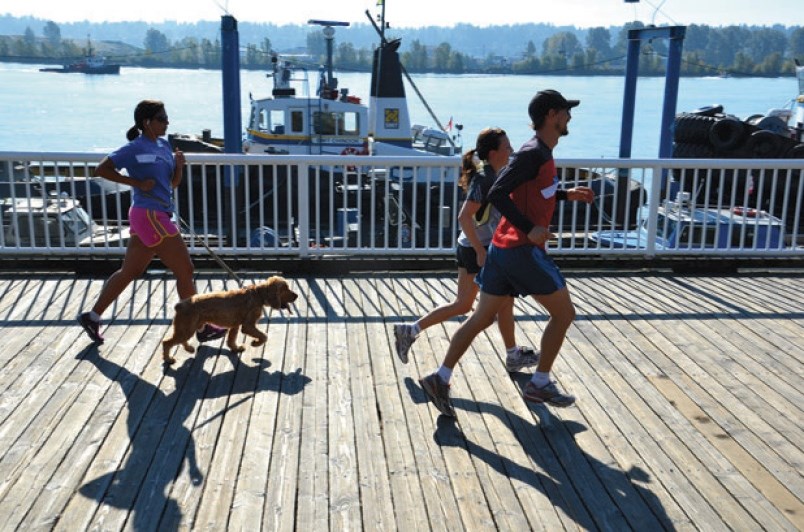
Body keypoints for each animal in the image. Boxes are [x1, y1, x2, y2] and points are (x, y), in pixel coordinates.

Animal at [161, 276, 298, 364]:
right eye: (285, 289)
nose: (296, 296)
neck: (258, 294)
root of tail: (180, 304)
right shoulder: (248, 326)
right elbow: (264, 336)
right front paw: (255, 343)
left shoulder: (235, 325)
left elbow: (232, 340)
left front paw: (236, 348)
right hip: (187, 328)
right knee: (166, 342)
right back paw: (168, 359)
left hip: (187, 328)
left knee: (180, 340)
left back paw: (189, 348)